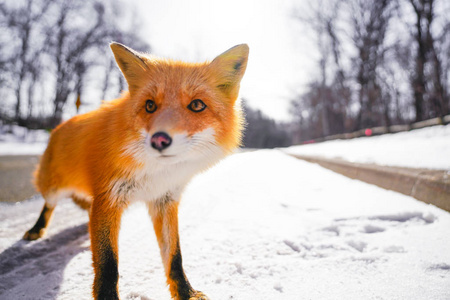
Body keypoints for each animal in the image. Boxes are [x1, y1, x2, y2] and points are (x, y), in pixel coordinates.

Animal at [22, 42, 248, 300]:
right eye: (150, 105)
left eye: (197, 105)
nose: (159, 139)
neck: (156, 173)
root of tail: (59, 126)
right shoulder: (109, 198)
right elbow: (108, 264)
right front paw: (108, 296)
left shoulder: (164, 199)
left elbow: (175, 257)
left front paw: (186, 292)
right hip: (52, 187)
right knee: (49, 205)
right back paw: (37, 228)